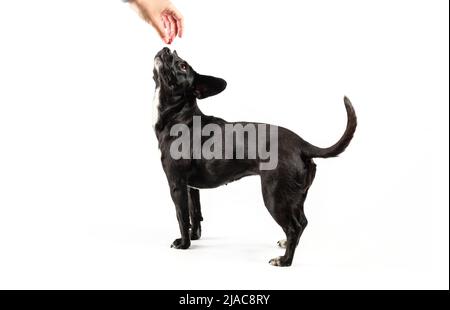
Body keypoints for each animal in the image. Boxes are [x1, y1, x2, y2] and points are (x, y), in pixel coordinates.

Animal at [153, 47, 356, 266]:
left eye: (182, 65)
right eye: (176, 56)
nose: (167, 49)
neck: (180, 116)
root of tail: (303, 144)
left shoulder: (177, 185)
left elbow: (181, 216)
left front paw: (184, 243)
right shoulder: (191, 188)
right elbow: (195, 214)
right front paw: (194, 237)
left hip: (274, 196)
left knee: (293, 227)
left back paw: (285, 261)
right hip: (295, 196)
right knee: (302, 222)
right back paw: (287, 245)